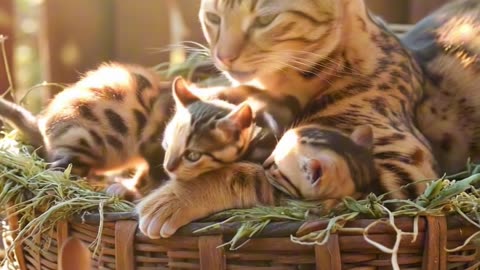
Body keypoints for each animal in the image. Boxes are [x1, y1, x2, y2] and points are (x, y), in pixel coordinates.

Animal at [137, 0, 440, 237]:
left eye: (265, 20)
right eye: (213, 18)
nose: (223, 57)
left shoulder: (403, 180)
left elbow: (250, 175)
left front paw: (172, 198)